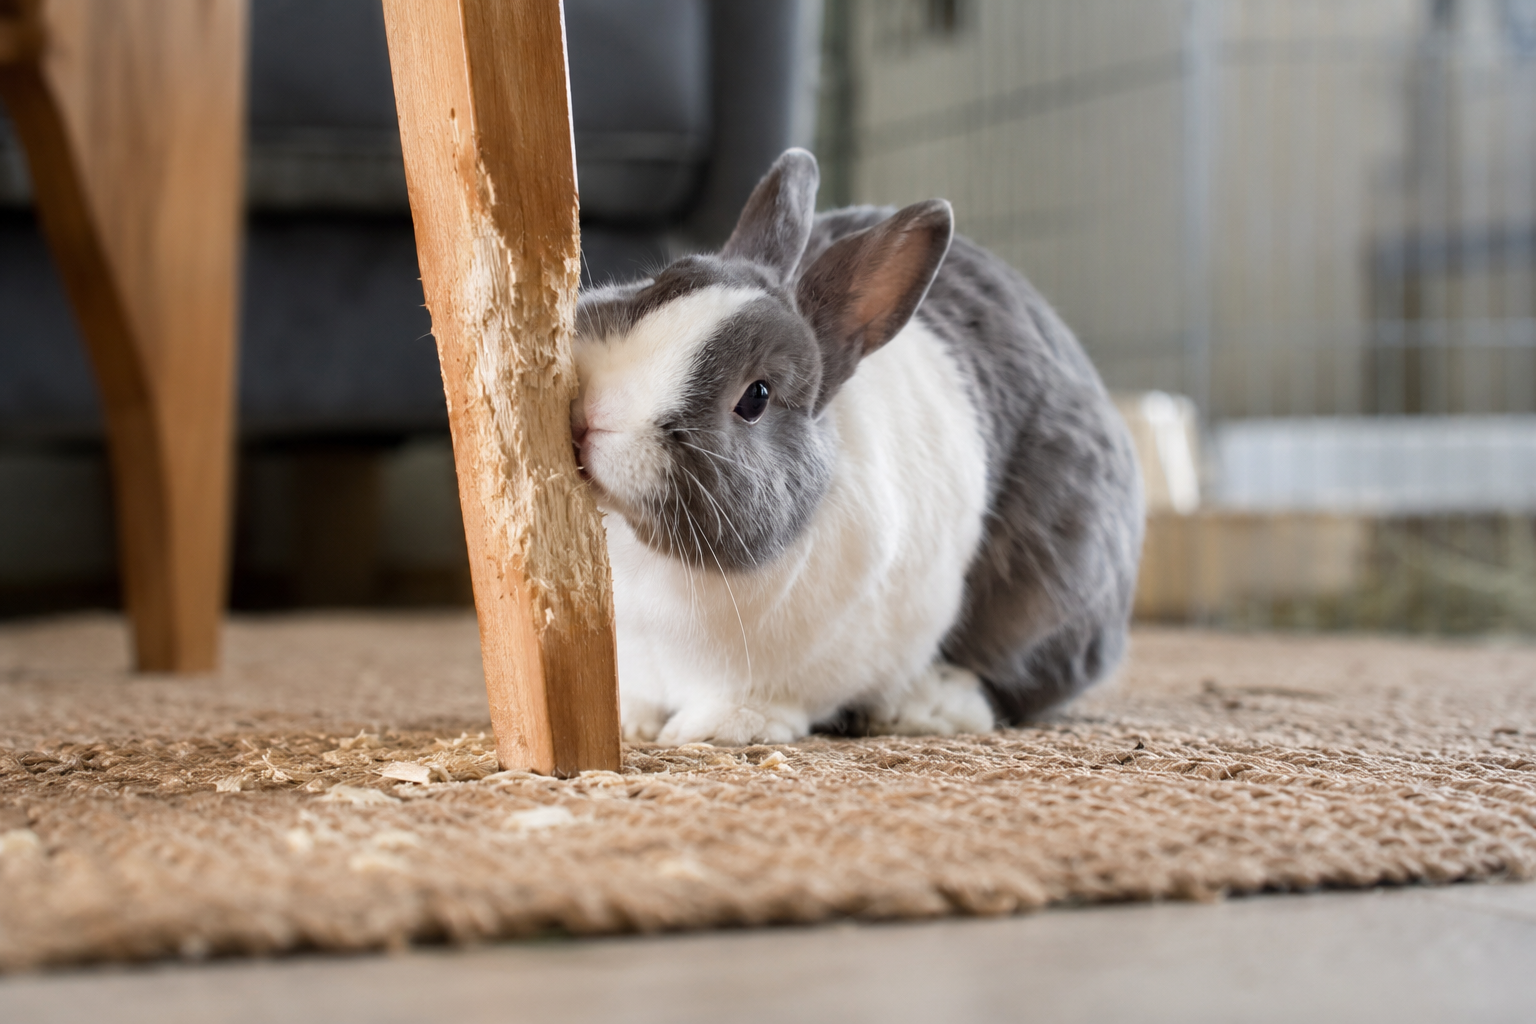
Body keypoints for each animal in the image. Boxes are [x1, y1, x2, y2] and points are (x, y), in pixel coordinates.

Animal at [571, 148, 1144, 746]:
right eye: (661, 281)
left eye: (756, 397)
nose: (597, 414)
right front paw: (630, 723)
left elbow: (758, 701)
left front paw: (722, 730)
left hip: (1051, 590)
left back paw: (924, 708)